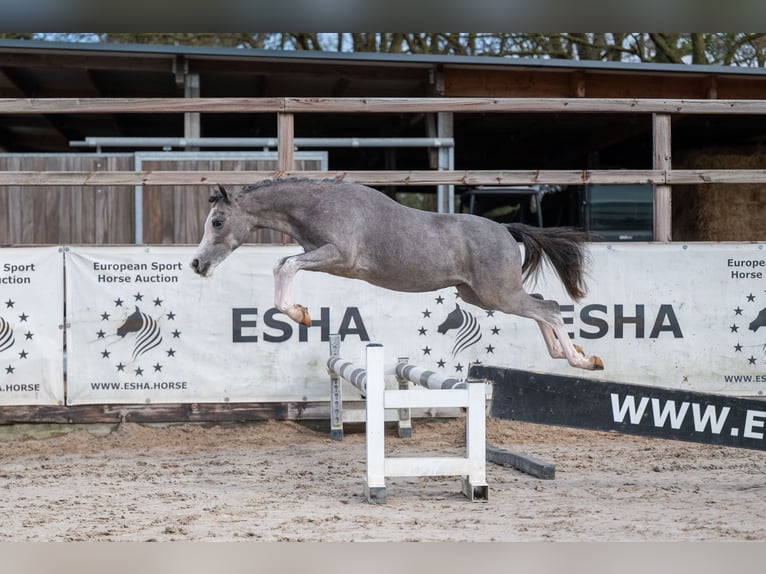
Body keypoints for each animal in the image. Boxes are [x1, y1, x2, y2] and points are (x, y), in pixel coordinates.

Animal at [191, 178, 603, 370]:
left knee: (549, 309)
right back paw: (566, 353)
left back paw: (581, 361)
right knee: (543, 305)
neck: (318, 204)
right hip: (480, 295)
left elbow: (285, 265)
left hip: (498, 294)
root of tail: (505, 229)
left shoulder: (336, 256)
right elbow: (283, 265)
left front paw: (300, 315)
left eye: (218, 222)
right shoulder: (319, 256)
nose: (197, 264)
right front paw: (300, 313)